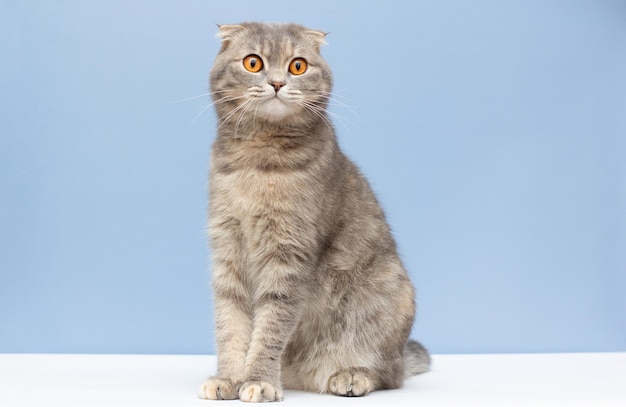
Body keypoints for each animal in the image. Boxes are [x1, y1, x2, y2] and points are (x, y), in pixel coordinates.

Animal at [197, 23, 426, 404]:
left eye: (298, 66)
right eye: (253, 63)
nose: (277, 82)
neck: (257, 161)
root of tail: (303, 378)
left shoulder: (289, 255)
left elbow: (270, 327)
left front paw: (258, 380)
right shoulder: (227, 251)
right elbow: (230, 326)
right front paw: (228, 378)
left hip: (392, 293)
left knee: (389, 374)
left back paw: (351, 375)